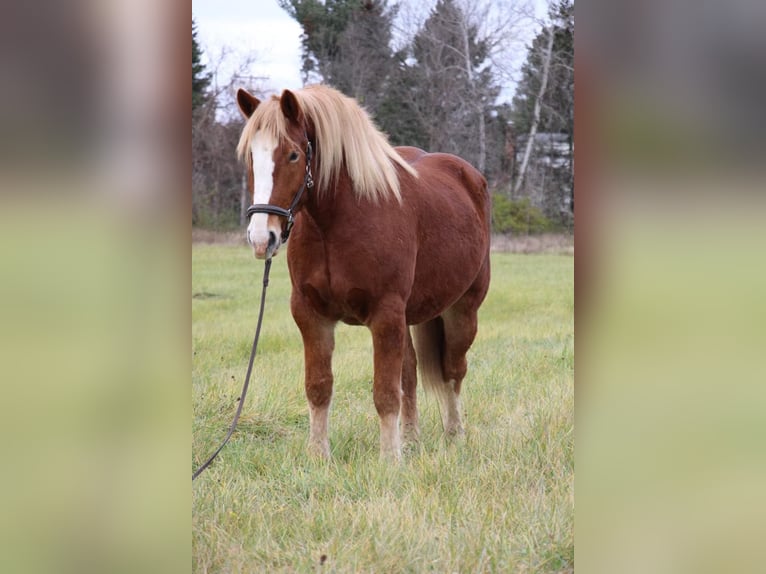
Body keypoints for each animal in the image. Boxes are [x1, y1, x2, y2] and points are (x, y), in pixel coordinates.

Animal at [234, 84, 492, 464]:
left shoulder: (385, 315)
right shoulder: (311, 315)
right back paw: (410, 439)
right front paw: (319, 455)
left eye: (293, 155)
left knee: (453, 370)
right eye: (251, 157)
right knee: (410, 373)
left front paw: (389, 461)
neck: (340, 221)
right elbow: (319, 387)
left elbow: (385, 392)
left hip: (461, 311)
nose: (260, 238)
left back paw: (454, 435)